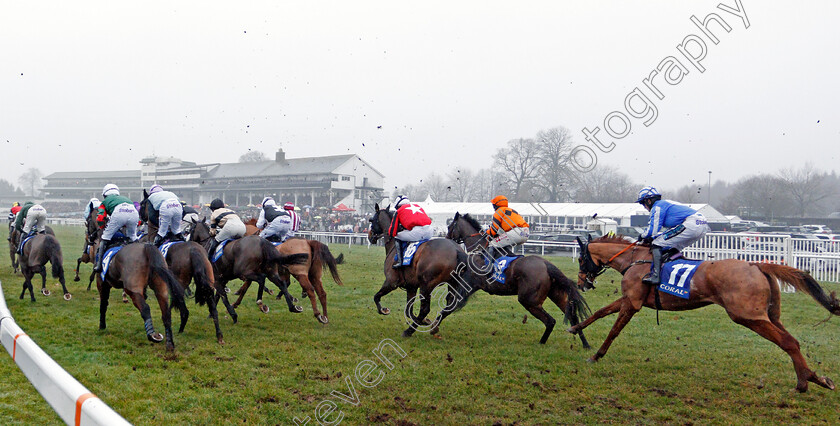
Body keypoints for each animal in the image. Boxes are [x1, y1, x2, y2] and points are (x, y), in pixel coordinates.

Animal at [370, 205, 476, 338]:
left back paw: (409, 331)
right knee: (450, 305)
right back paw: (434, 326)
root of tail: (457, 250)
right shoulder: (411, 286)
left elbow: (376, 297)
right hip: (453, 283)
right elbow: (408, 310)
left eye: (371, 220)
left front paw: (383, 310)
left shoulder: (391, 282)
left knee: (425, 309)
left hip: (426, 285)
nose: (370, 236)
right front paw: (425, 321)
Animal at [446, 212, 592, 346]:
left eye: (449, 226)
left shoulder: (472, 283)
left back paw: (541, 343)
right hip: (556, 295)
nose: (447, 238)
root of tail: (546, 265)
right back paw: (586, 344)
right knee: (573, 317)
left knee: (550, 321)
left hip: (528, 300)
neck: (481, 249)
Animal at [568, 235, 836, 392]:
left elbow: (614, 330)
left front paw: (596, 355)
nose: (581, 283)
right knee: (793, 341)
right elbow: (600, 312)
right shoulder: (628, 299)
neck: (636, 260)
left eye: (581, 259)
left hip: (748, 316)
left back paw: (803, 383)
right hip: (770, 316)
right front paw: (575, 327)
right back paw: (815, 378)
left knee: (788, 342)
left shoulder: (632, 303)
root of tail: (756, 264)